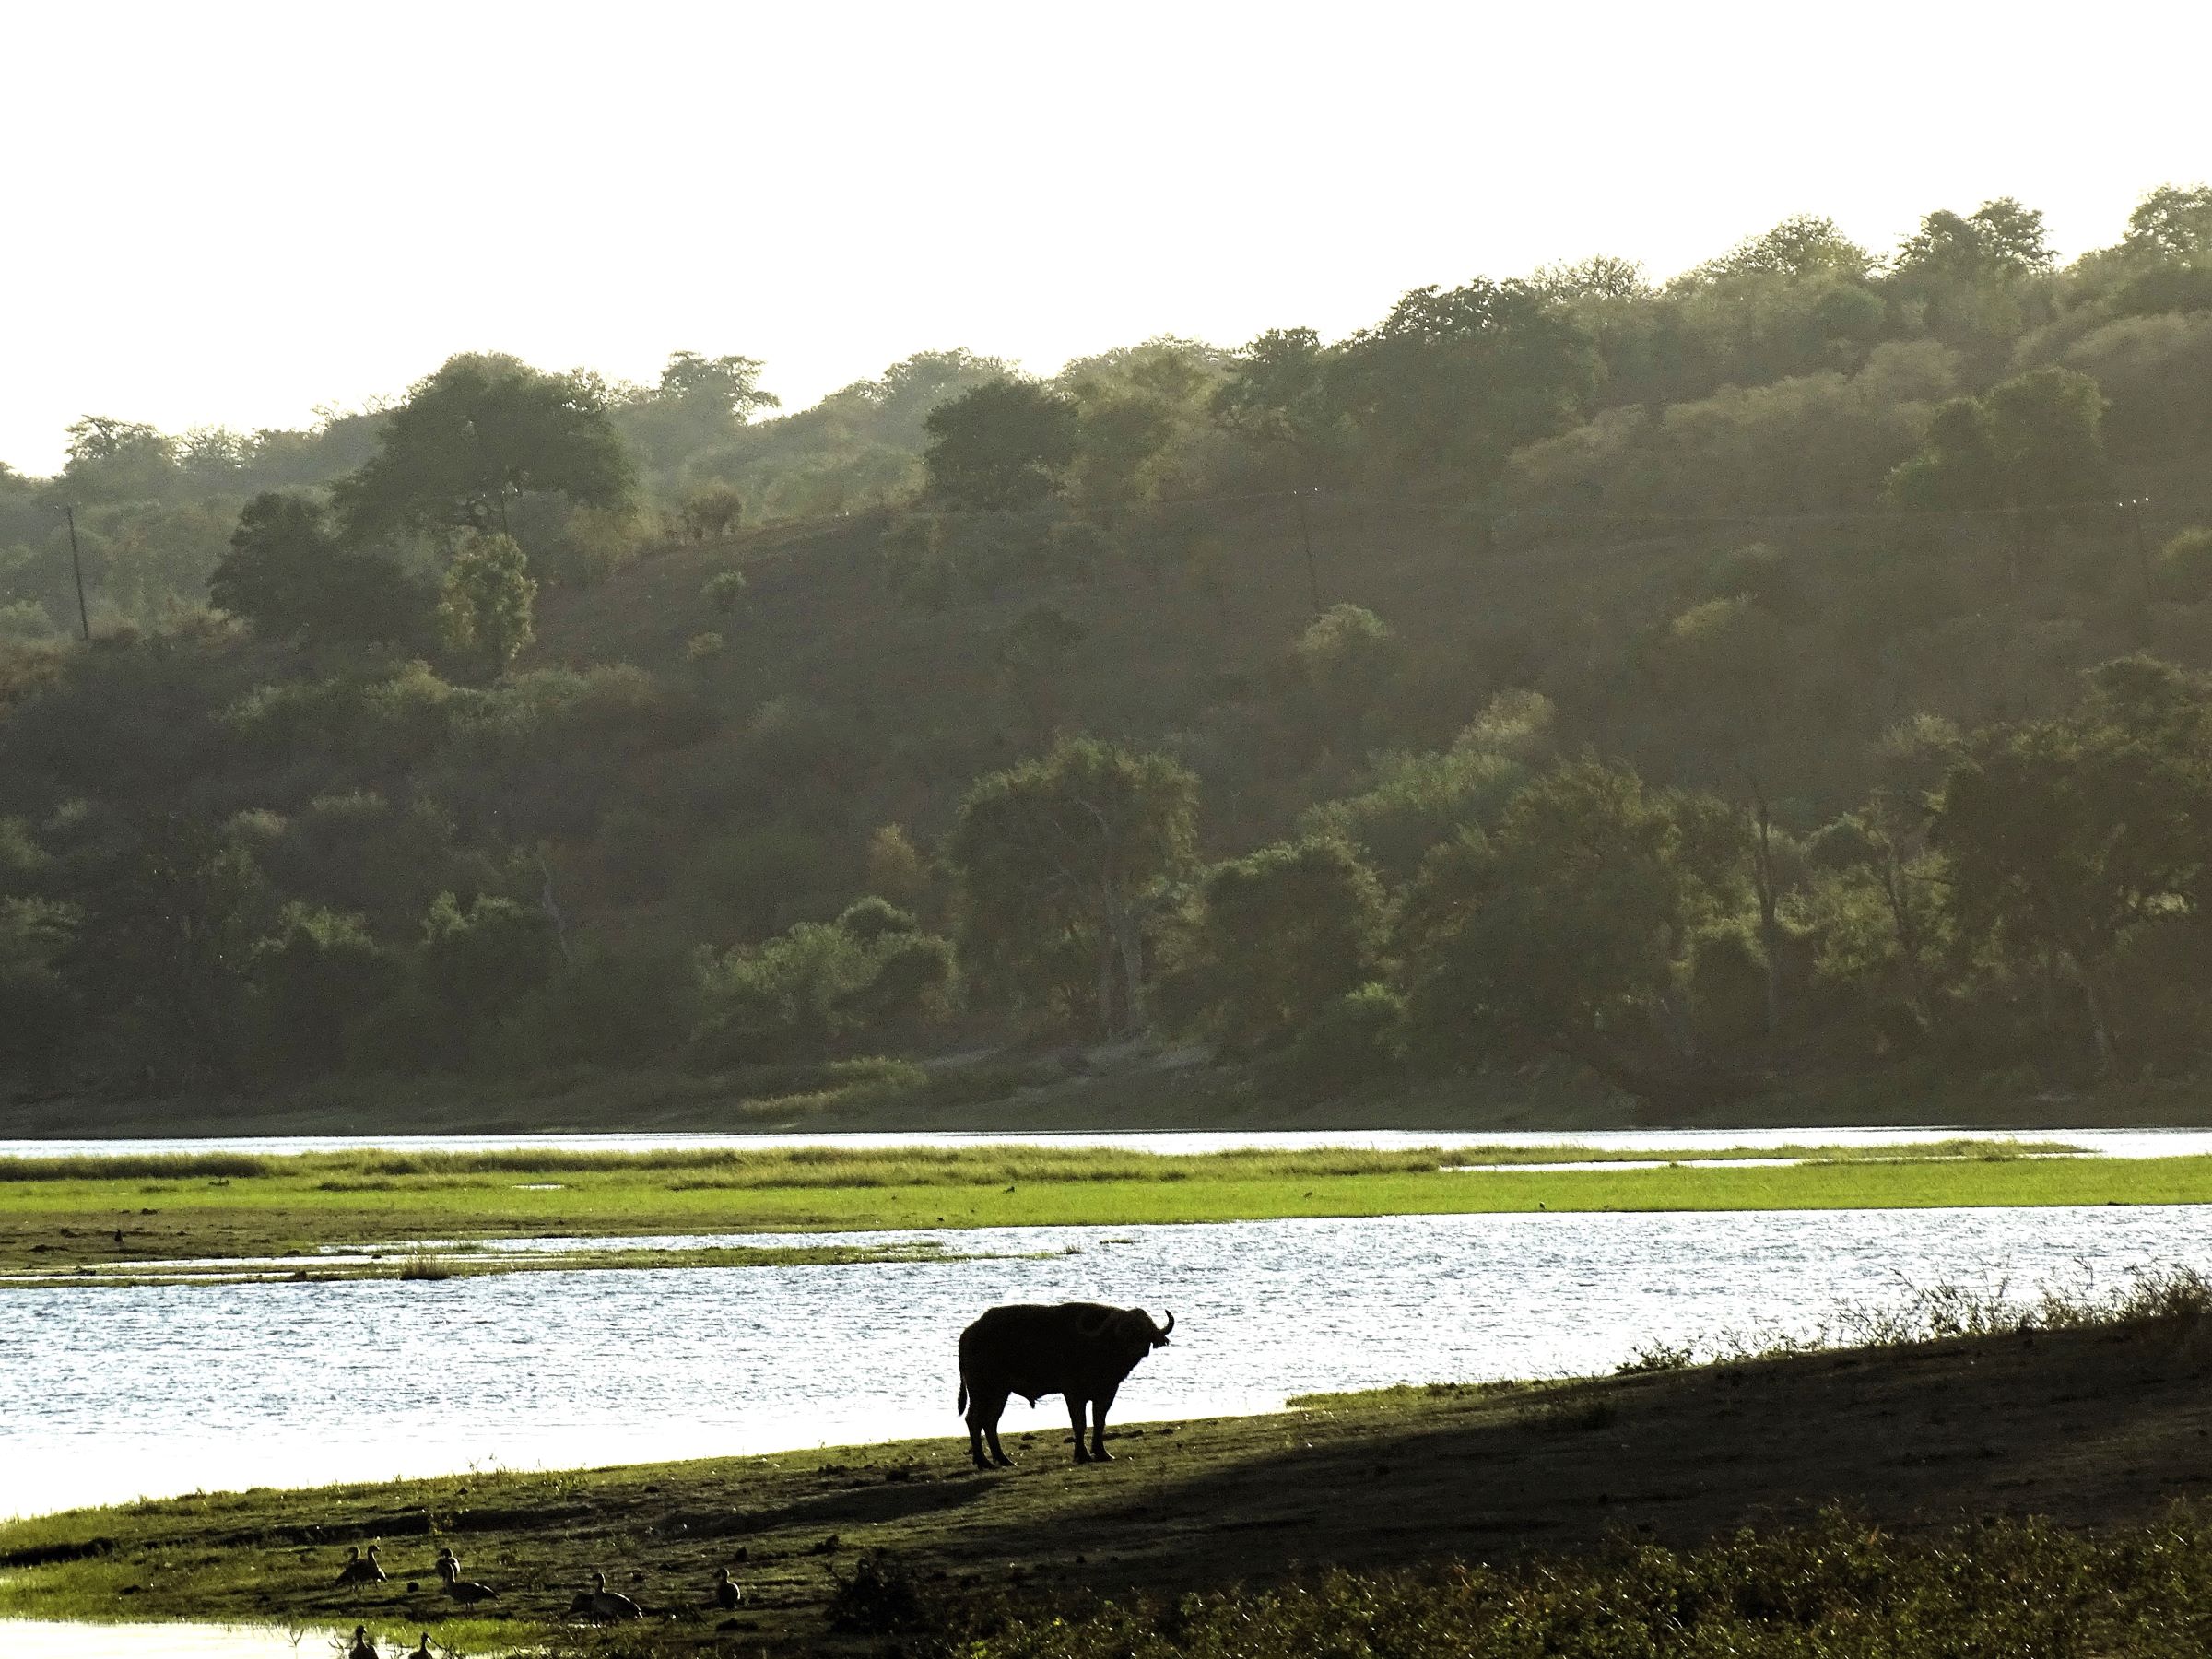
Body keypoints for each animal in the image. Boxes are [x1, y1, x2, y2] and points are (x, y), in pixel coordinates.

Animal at [959, 1309, 1185, 1477]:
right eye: (1124, 1330)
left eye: (1145, 1329)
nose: (1139, 1349)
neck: (1098, 1347)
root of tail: (968, 1334)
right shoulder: (1073, 1393)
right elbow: (1080, 1423)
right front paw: (1082, 1455)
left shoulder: (1107, 1392)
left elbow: (1099, 1421)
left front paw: (1102, 1453)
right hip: (982, 1391)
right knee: (974, 1420)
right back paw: (984, 1462)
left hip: (1000, 1393)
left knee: (990, 1422)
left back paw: (1003, 1460)